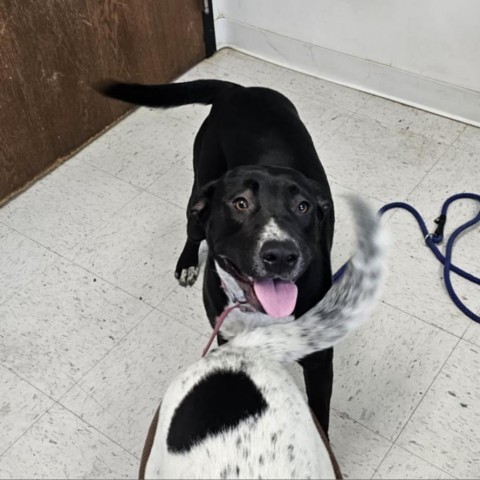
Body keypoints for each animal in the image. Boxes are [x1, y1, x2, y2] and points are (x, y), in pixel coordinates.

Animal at [100, 80, 336, 434]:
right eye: (240, 203)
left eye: (303, 206)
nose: (281, 255)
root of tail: (238, 89)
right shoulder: (230, 344)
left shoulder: (320, 361)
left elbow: (320, 418)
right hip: (199, 185)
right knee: (192, 230)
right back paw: (186, 263)